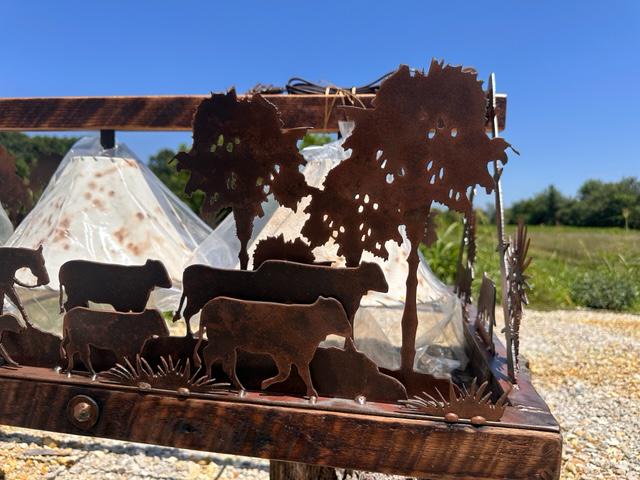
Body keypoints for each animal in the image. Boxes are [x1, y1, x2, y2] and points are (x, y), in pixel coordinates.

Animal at [174, 260, 388, 337]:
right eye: (377, 274)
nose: (387, 287)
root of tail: (187, 270)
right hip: (195, 300)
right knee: (187, 314)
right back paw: (190, 335)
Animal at [194, 296, 351, 397]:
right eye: (335, 314)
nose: (349, 329)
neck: (308, 320)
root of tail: (207, 307)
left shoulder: (292, 358)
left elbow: (289, 374)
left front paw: (263, 385)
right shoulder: (288, 356)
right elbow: (298, 374)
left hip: (228, 348)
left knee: (225, 365)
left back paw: (235, 387)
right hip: (222, 345)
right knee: (209, 355)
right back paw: (208, 380)